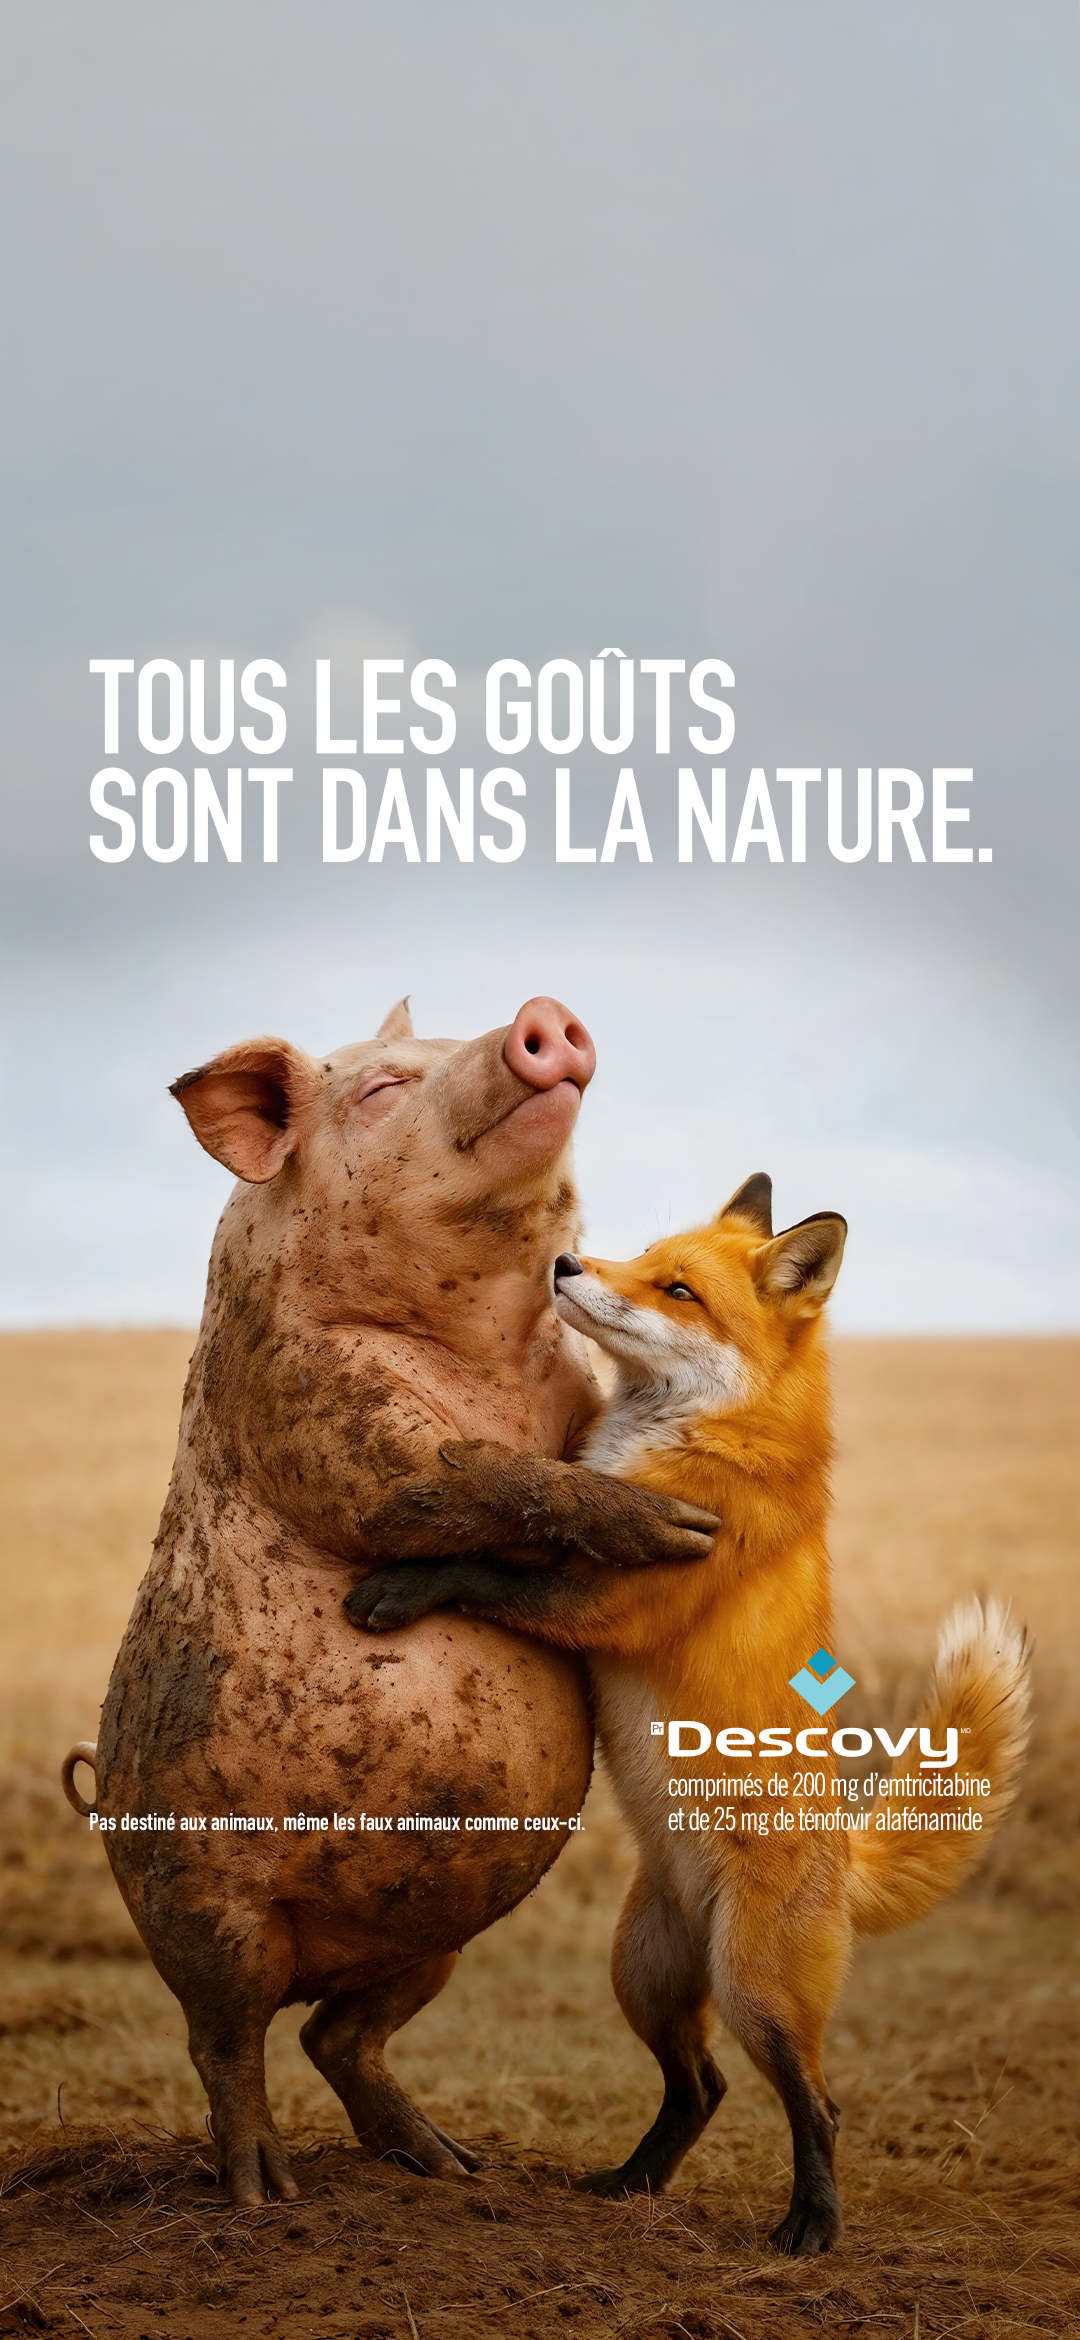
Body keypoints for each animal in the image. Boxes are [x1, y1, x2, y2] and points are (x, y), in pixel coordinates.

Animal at [63, 996, 715, 2207]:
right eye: (378, 1090)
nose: (541, 1016)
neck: (486, 1349)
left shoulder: (571, 1391)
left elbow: (552, 1459)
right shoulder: (309, 1400)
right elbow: (450, 1479)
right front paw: (681, 1531)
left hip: (435, 1932)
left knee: (338, 2037)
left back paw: (448, 2166)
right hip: (204, 1906)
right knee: (224, 2039)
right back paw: (264, 2193)